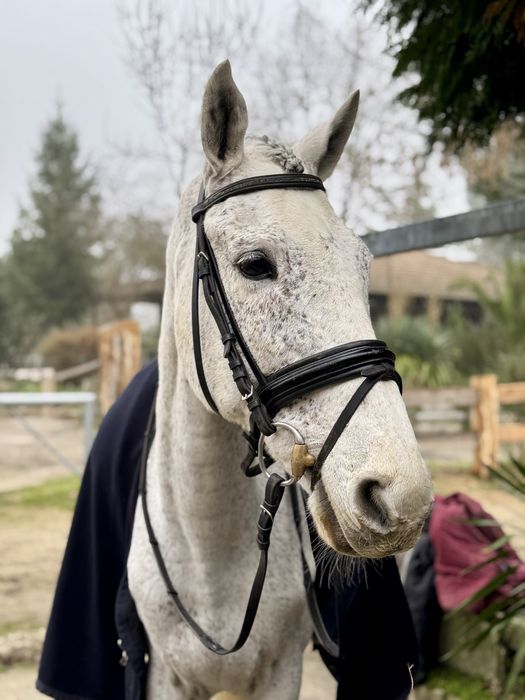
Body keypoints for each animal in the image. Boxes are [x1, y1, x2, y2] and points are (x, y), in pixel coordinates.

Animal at [127, 59, 434, 700]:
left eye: (362, 265)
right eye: (254, 265)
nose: (400, 496)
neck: (209, 548)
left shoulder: (279, 671)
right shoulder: (164, 675)